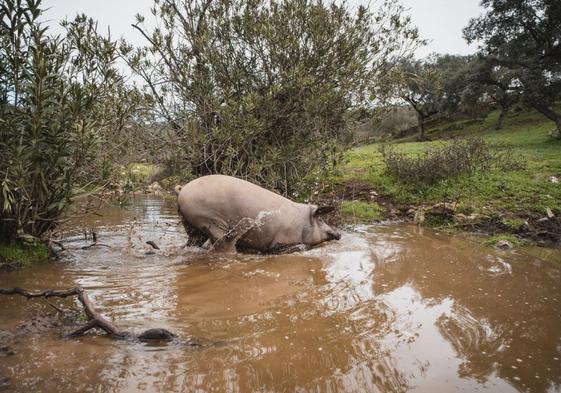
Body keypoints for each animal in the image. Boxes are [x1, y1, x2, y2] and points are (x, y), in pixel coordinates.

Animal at [175, 174, 342, 253]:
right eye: (321, 219)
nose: (339, 233)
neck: (303, 223)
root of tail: (182, 189)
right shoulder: (279, 242)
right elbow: (302, 246)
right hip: (210, 220)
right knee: (222, 241)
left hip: (190, 224)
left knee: (192, 242)